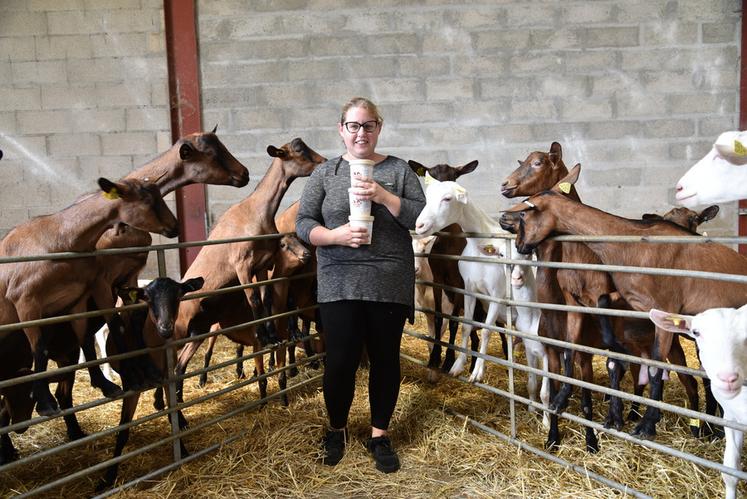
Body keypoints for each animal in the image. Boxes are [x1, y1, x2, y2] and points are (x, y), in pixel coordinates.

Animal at [0, 178, 178, 416]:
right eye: (146, 200)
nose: (175, 227)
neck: (59, 239)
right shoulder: (27, 300)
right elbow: (40, 348)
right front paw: (45, 402)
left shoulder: (83, 295)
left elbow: (93, 333)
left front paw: (112, 382)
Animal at [412, 177, 536, 386]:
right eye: (427, 196)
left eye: (447, 198)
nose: (419, 225)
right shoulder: (469, 290)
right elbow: (466, 327)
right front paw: (457, 366)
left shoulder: (495, 294)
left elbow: (486, 330)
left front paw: (477, 372)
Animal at [500, 164, 747, 442]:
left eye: (524, 213)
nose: (520, 245)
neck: (631, 244)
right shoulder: (627, 301)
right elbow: (583, 337)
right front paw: (563, 398)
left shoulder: (665, 308)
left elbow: (655, 366)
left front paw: (647, 424)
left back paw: (709, 427)